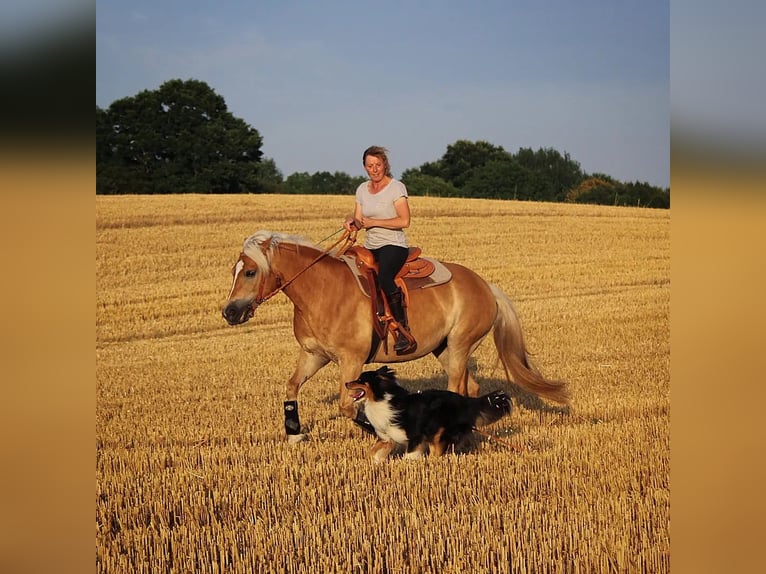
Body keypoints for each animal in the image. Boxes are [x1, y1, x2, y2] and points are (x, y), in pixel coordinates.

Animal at [222, 231, 568, 446]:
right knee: (471, 387)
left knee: (457, 388)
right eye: (234, 270)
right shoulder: (314, 355)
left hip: (459, 346)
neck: (322, 291)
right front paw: (294, 434)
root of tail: (486, 286)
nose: (229, 312)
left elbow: (348, 406)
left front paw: (380, 433)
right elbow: (292, 387)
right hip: (444, 349)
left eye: (250, 271)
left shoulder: (351, 360)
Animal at [344, 368, 512, 464]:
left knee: (438, 451)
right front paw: (374, 462)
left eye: (360, 380)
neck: (380, 399)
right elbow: (373, 451)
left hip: (438, 432)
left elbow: (410, 454)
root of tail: (467, 401)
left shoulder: (415, 435)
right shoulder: (388, 438)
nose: (346, 383)